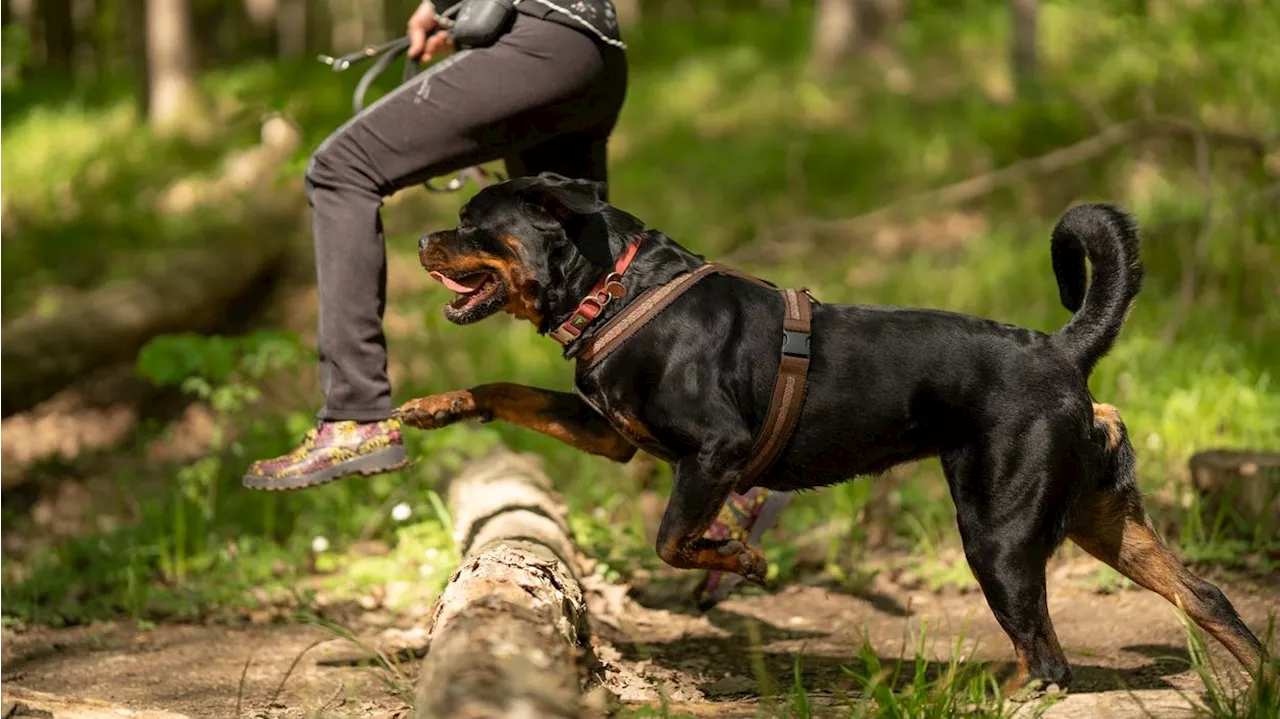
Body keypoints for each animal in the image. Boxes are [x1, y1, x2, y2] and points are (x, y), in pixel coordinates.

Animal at [399, 172, 1259, 690]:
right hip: (1099, 516)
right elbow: (507, 390)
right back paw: (1261, 675)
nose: (417, 238)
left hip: (1000, 533)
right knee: (1206, 595)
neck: (617, 288)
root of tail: (1061, 351)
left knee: (1047, 655)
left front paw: (741, 556)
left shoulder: (714, 452)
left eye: (471, 223)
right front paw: (434, 405)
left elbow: (674, 538)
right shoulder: (608, 429)